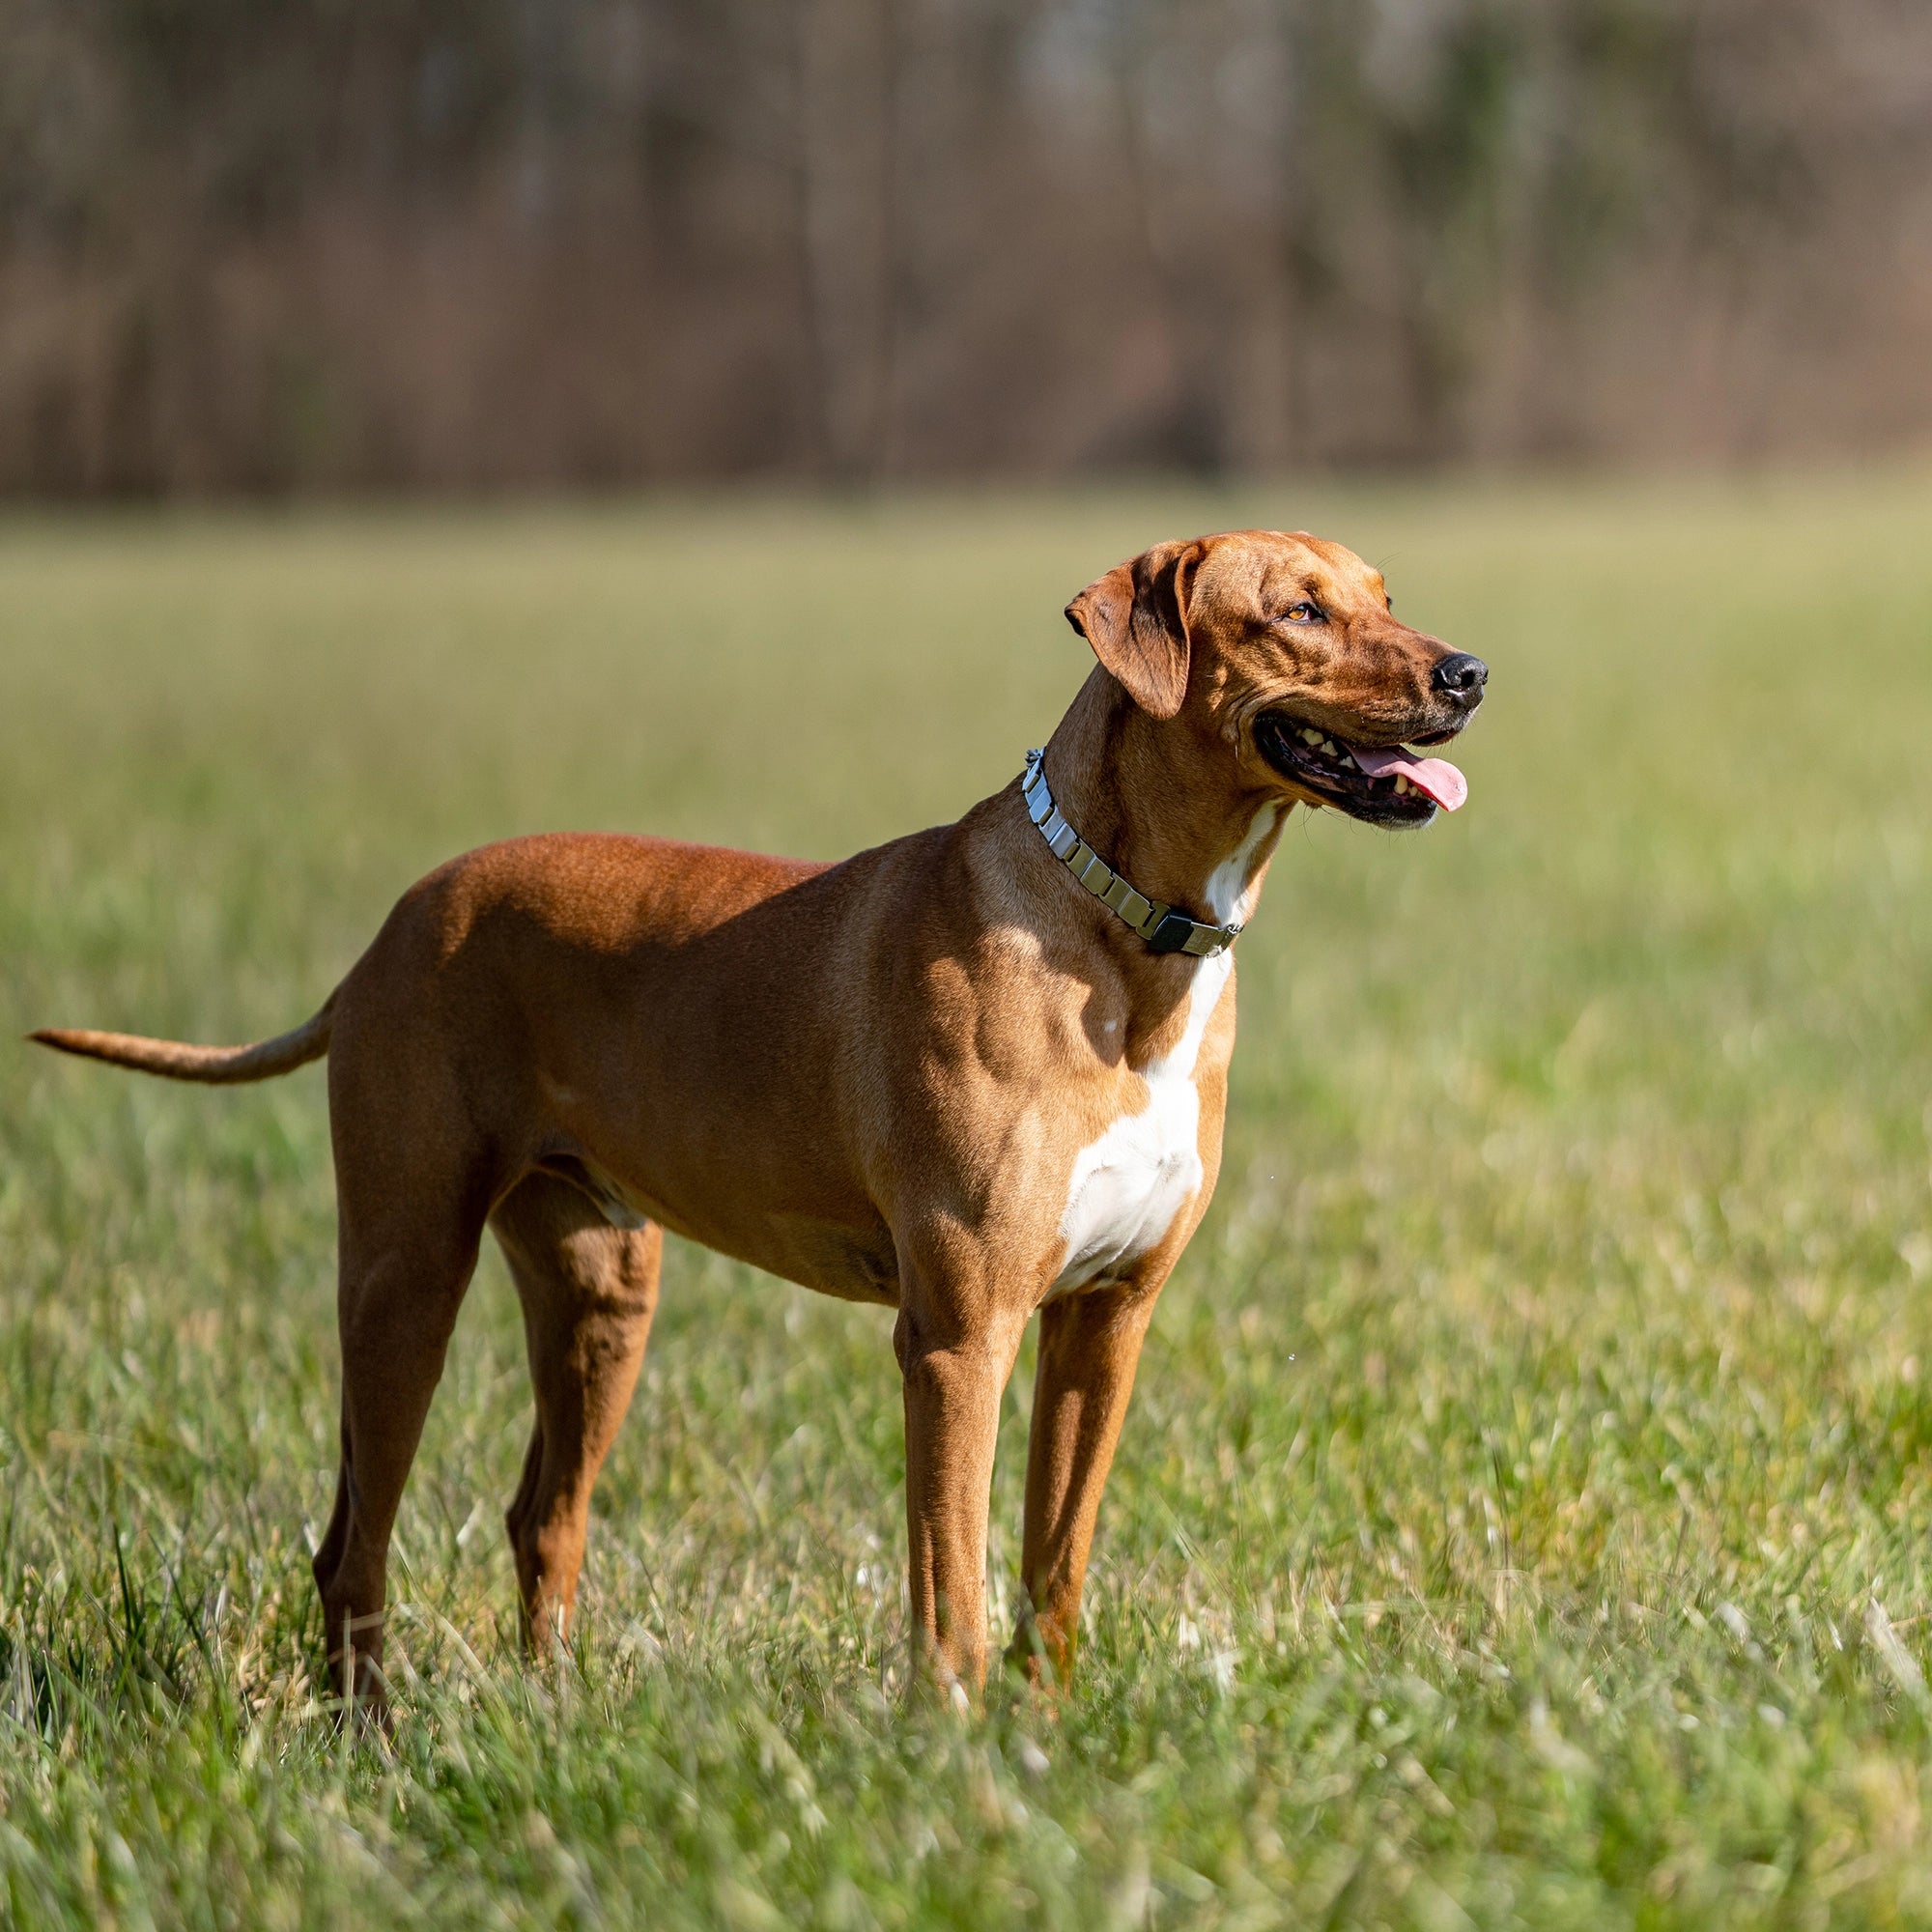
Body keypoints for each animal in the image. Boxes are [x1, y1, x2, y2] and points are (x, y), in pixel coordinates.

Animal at [30, 529, 1484, 1708]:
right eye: (1297, 611)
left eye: (1385, 595)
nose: (1468, 670)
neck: (1125, 932)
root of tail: (384, 936)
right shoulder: (960, 1333)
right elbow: (952, 1576)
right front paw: (956, 1745)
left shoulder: (1105, 1321)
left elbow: (1051, 1566)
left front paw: (1045, 1731)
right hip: (403, 1276)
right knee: (352, 1545)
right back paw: (371, 1744)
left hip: (603, 1292)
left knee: (540, 1517)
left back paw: (553, 1719)